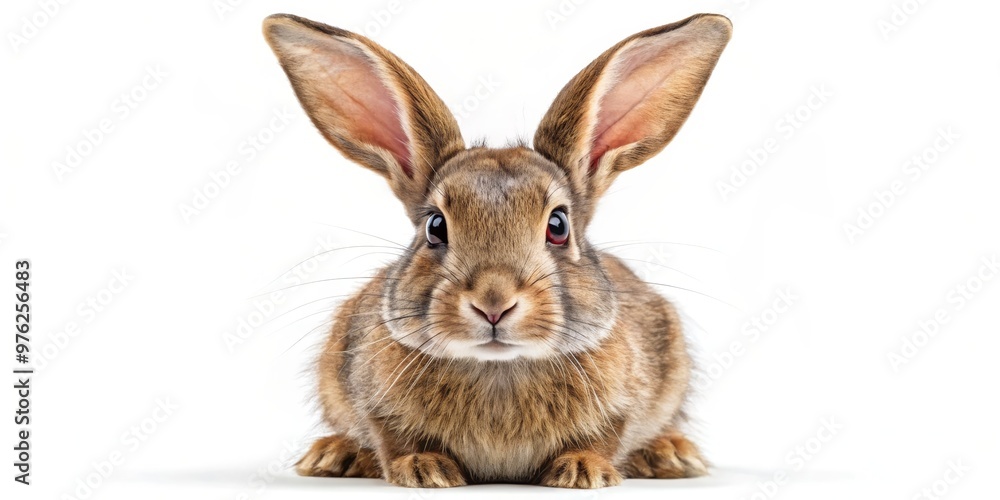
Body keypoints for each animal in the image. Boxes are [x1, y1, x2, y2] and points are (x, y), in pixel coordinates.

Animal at [263, 11, 731, 488]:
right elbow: (393, 438)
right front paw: (423, 468)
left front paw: (583, 470)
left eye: (558, 226)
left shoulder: (623, 405)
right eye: (435, 227)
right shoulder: (371, 400)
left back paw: (671, 455)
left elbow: (604, 438)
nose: (493, 302)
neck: (498, 368)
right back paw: (333, 455)